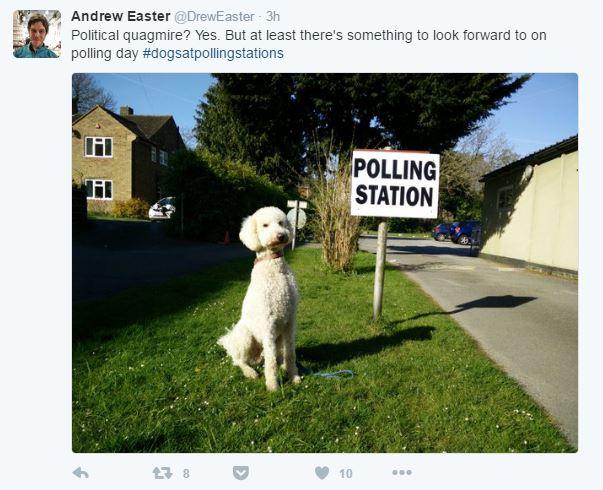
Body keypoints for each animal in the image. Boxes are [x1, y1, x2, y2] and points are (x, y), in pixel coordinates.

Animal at [218, 207, 300, 390]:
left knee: (273, 356)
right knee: (239, 360)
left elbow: (290, 352)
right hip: (246, 336)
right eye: (265, 225)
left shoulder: (290, 320)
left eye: (281, 223)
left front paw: (294, 375)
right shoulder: (268, 323)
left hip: (277, 339)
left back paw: (282, 365)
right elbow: (271, 362)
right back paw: (250, 372)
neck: (275, 270)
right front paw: (273, 385)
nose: (281, 236)